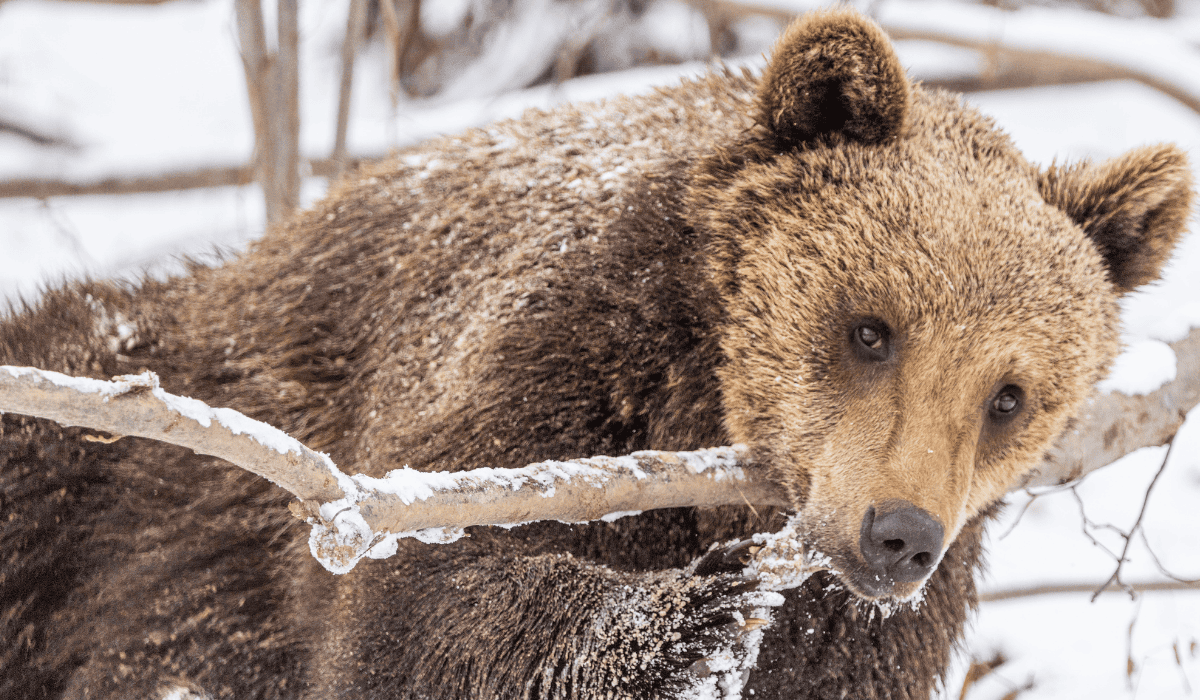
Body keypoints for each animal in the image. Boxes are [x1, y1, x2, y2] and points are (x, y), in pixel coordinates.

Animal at [0, 7, 1192, 699]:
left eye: (1010, 394)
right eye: (871, 328)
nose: (898, 535)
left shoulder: (865, 630)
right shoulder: (539, 376)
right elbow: (420, 612)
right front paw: (692, 615)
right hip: (110, 466)